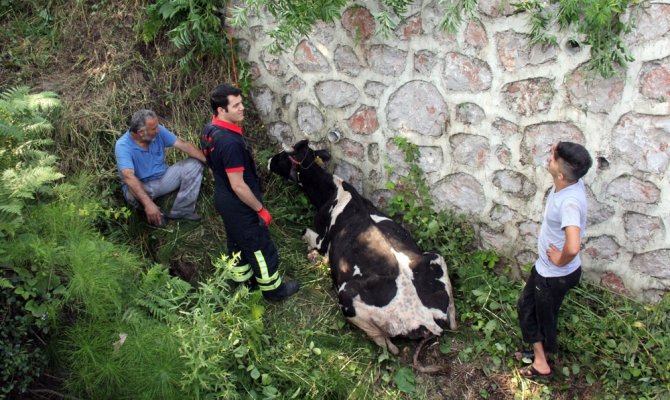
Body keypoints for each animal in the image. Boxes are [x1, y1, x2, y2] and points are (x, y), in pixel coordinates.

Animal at [270, 140, 460, 354]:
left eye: (283, 157)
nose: (269, 161)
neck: (335, 192)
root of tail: (425, 319)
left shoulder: (323, 241)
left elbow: (305, 233)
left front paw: (313, 256)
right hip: (435, 257)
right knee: (453, 320)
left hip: (347, 297)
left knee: (388, 345)